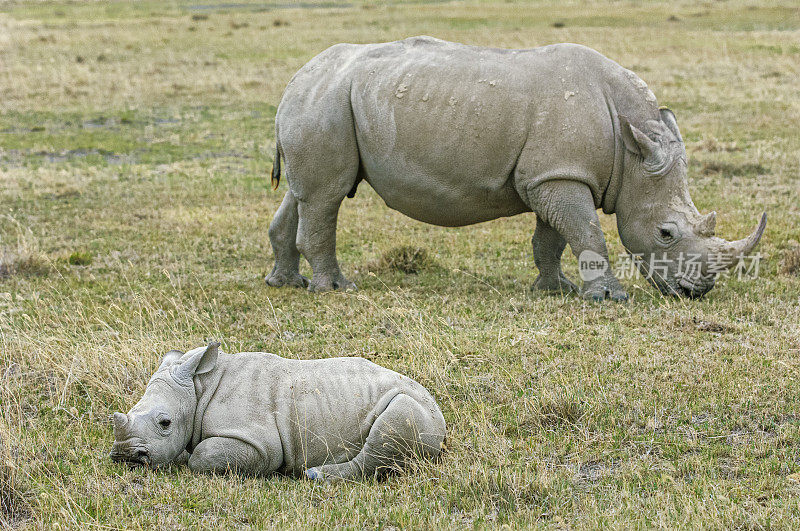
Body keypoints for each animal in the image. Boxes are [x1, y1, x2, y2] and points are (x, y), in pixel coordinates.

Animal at [109, 344, 446, 482]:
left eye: (165, 423)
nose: (124, 456)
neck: (198, 387)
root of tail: (439, 415)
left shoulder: (257, 442)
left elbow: (203, 456)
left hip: (411, 405)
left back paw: (314, 475)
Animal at [266, 38, 764, 300]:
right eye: (665, 233)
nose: (696, 291)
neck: (631, 147)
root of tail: (295, 77)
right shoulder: (560, 175)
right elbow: (588, 231)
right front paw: (608, 297)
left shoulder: (553, 174)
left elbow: (554, 237)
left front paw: (556, 289)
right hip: (327, 100)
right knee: (327, 196)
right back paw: (335, 289)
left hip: (322, 100)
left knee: (302, 193)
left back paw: (287, 283)